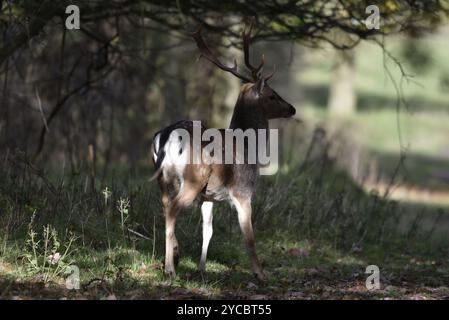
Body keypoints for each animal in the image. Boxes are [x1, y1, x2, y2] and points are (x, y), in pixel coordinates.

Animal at [152, 25, 296, 280]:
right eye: (272, 95)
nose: (292, 108)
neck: (249, 146)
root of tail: (166, 136)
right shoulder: (243, 190)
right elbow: (249, 237)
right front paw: (261, 274)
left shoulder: (209, 197)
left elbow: (207, 231)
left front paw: (201, 269)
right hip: (193, 178)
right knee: (172, 212)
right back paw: (170, 269)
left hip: (165, 180)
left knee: (165, 207)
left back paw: (174, 257)